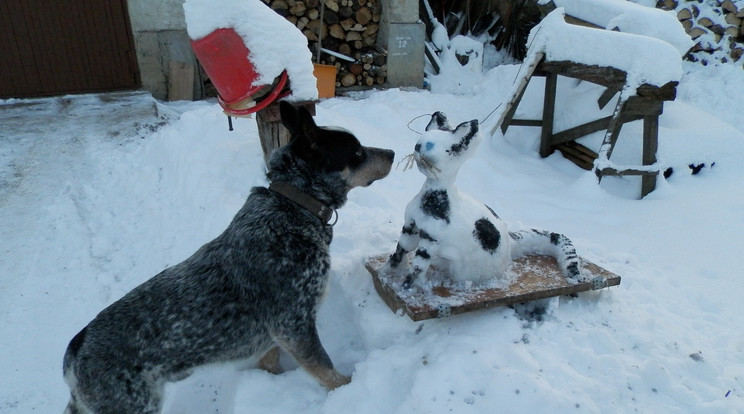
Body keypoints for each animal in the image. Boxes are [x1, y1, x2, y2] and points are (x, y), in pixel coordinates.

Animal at [64, 101, 398, 414]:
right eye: (357, 153)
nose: (393, 152)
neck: (293, 206)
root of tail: (74, 353)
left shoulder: (271, 336)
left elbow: (270, 362)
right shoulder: (292, 323)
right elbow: (326, 370)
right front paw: (349, 390)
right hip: (133, 403)